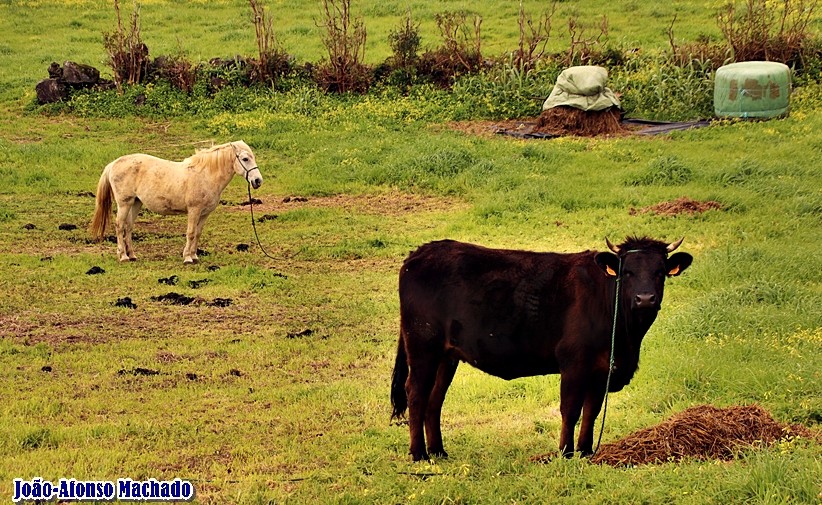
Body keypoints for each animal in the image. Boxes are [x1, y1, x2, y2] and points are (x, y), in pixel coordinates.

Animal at [90, 141, 262, 264]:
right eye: (245, 159)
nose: (257, 181)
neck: (205, 175)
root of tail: (113, 164)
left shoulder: (204, 213)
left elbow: (198, 233)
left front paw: (194, 256)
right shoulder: (194, 210)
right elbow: (191, 233)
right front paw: (187, 258)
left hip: (136, 203)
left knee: (128, 227)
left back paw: (132, 255)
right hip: (124, 203)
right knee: (119, 226)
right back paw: (123, 256)